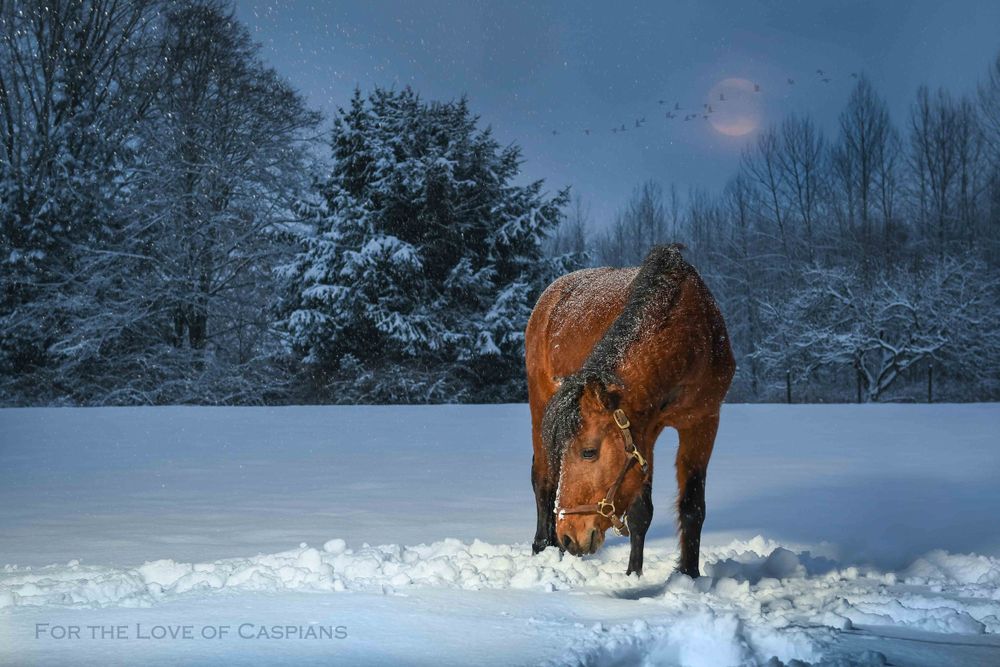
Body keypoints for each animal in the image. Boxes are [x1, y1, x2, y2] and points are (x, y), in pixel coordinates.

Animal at [525, 244, 735, 578]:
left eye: (588, 452)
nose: (570, 536)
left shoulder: (702, 421)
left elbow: (692, 506)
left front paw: (689, 575)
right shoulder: (645, 430)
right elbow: (640, 512)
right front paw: (633, 576)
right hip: (540, 403)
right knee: (543, 478)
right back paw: (543, 546)